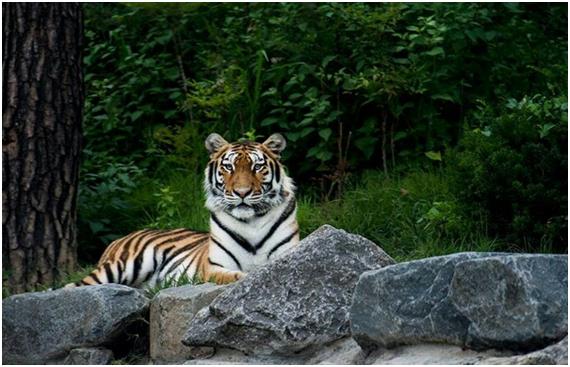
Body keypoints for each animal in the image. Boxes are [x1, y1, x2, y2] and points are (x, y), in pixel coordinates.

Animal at [67, 134, 300, 288]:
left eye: (257, 167)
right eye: (229, 167)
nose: (242, 192)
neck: (250, 222)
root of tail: (120, 238)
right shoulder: (214, 266)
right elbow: (229, 276)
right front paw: (244, 278)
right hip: (124, 265)